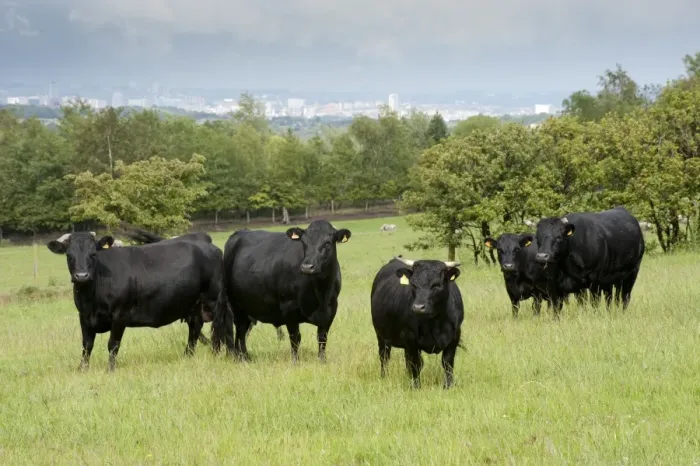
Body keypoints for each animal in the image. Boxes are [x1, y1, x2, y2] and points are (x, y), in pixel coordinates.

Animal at [47, 231, 223, 371]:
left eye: (93, 254)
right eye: (69, 256)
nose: (82, 276)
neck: (92, 298)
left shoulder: (120, 315)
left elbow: (113, 344)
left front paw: (110, 369)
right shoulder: (84, 316)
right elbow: (87, 345)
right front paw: (82, 369)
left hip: (214, 300)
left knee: (218, 326)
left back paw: (219, 354)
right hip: (193, 306)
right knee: (194, 330)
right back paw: (188, 357)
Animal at [212, 219, 351, 363]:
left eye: (328, 243)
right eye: (304, 243)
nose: (307, 267)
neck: (320, 293)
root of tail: (240, 232)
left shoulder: (331, 309)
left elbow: (322, 338)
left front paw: (322, 360)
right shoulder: (289, 307)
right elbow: (295, 338)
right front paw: (295, 361)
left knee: (241, 330)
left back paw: (242, 357)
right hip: (235, 304)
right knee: (239, 330)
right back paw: (242, 357)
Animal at [370, 256, 464, 389]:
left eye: (436, 285)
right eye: (413, 284)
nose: (418, 307)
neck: (435, 323)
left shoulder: (454, 337)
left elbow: (447, 363)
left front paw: (448, 385)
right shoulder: (410, 338)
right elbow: (416, 364)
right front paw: (416, 386)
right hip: (381, 336)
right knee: (384, 357)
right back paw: (384, 377)